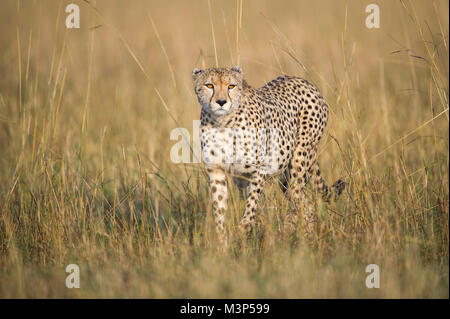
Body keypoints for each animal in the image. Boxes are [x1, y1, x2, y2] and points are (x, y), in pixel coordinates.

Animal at [192, 65, 344, 245]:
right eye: (209, 85)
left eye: (231, 86)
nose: (221, 102)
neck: (222, 122)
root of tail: (303, 81)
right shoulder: (216, 171)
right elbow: (219, 208)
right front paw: (223, 243)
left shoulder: (258, 169)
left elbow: (251, 204)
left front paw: (243, 229)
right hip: (284, 177)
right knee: (304, 203)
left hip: (298, 162)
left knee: (301, 201)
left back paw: (293, 232)